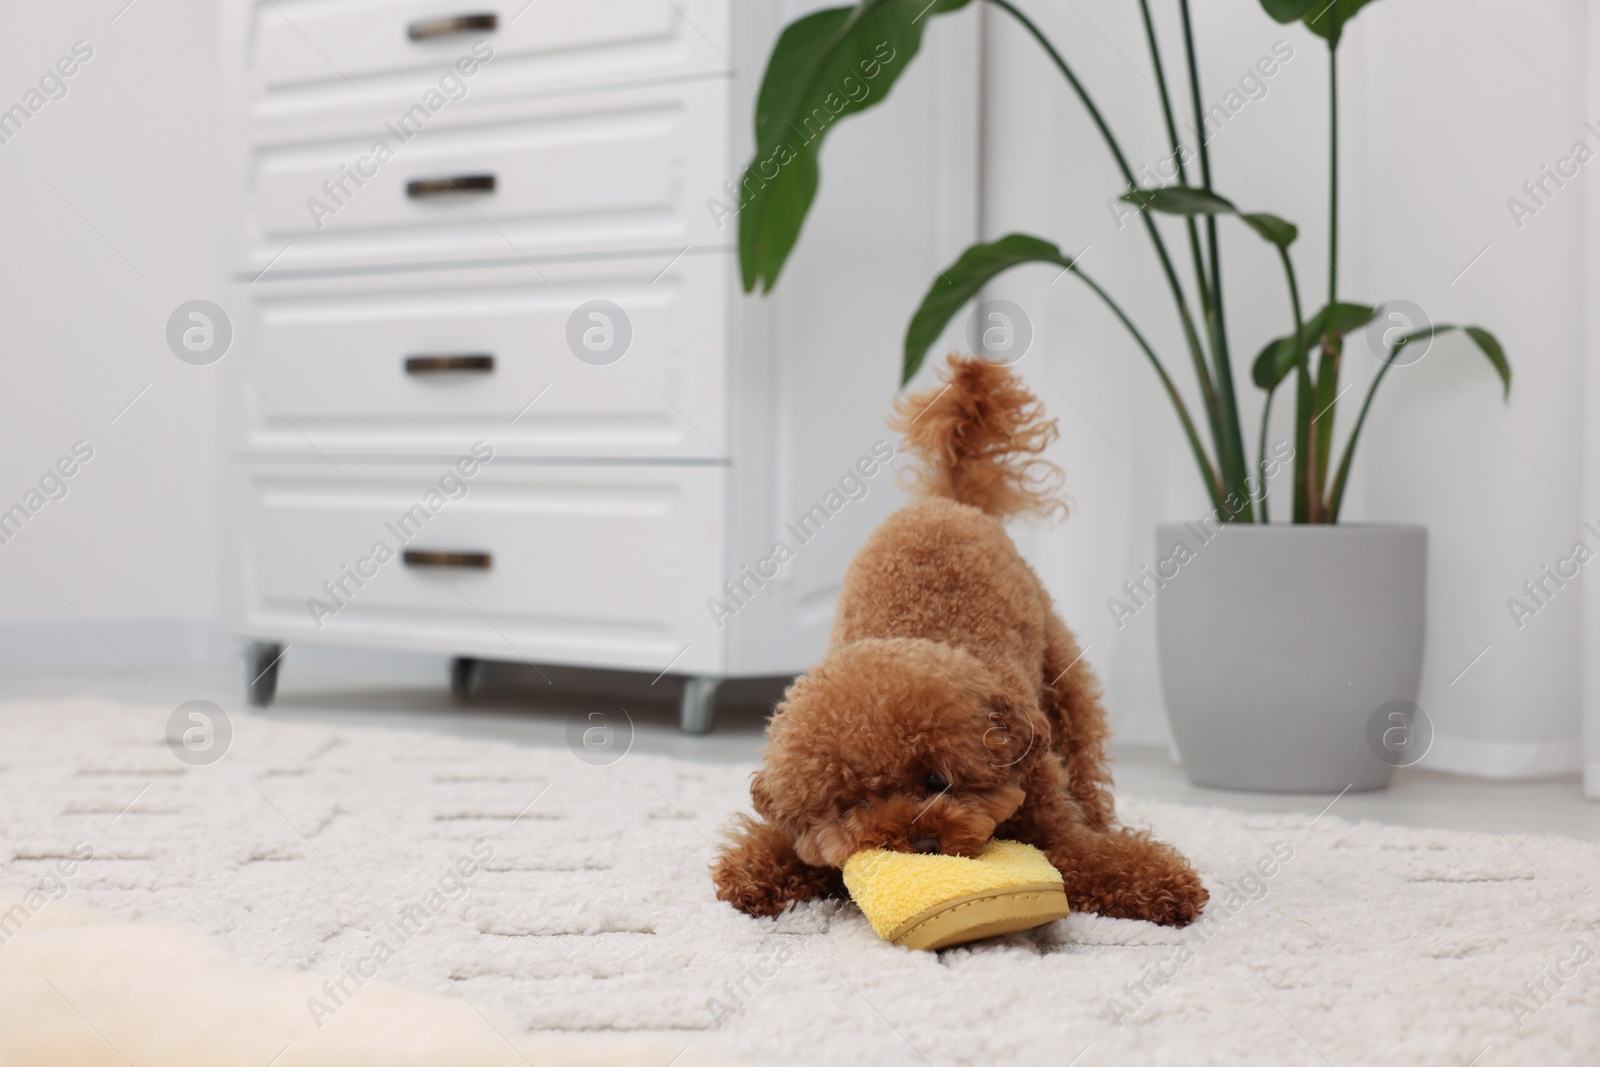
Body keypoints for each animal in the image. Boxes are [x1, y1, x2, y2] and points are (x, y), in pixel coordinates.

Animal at [716, 356, 1209, 927]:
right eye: (853, 803)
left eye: (936, 779)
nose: (919, 843)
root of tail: (946, 499)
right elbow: (788, 846)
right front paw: (751, 873)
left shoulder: (1051, 818)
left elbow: (1093, 856)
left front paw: (1165, 884)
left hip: (1063, 677)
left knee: (1084, 758)